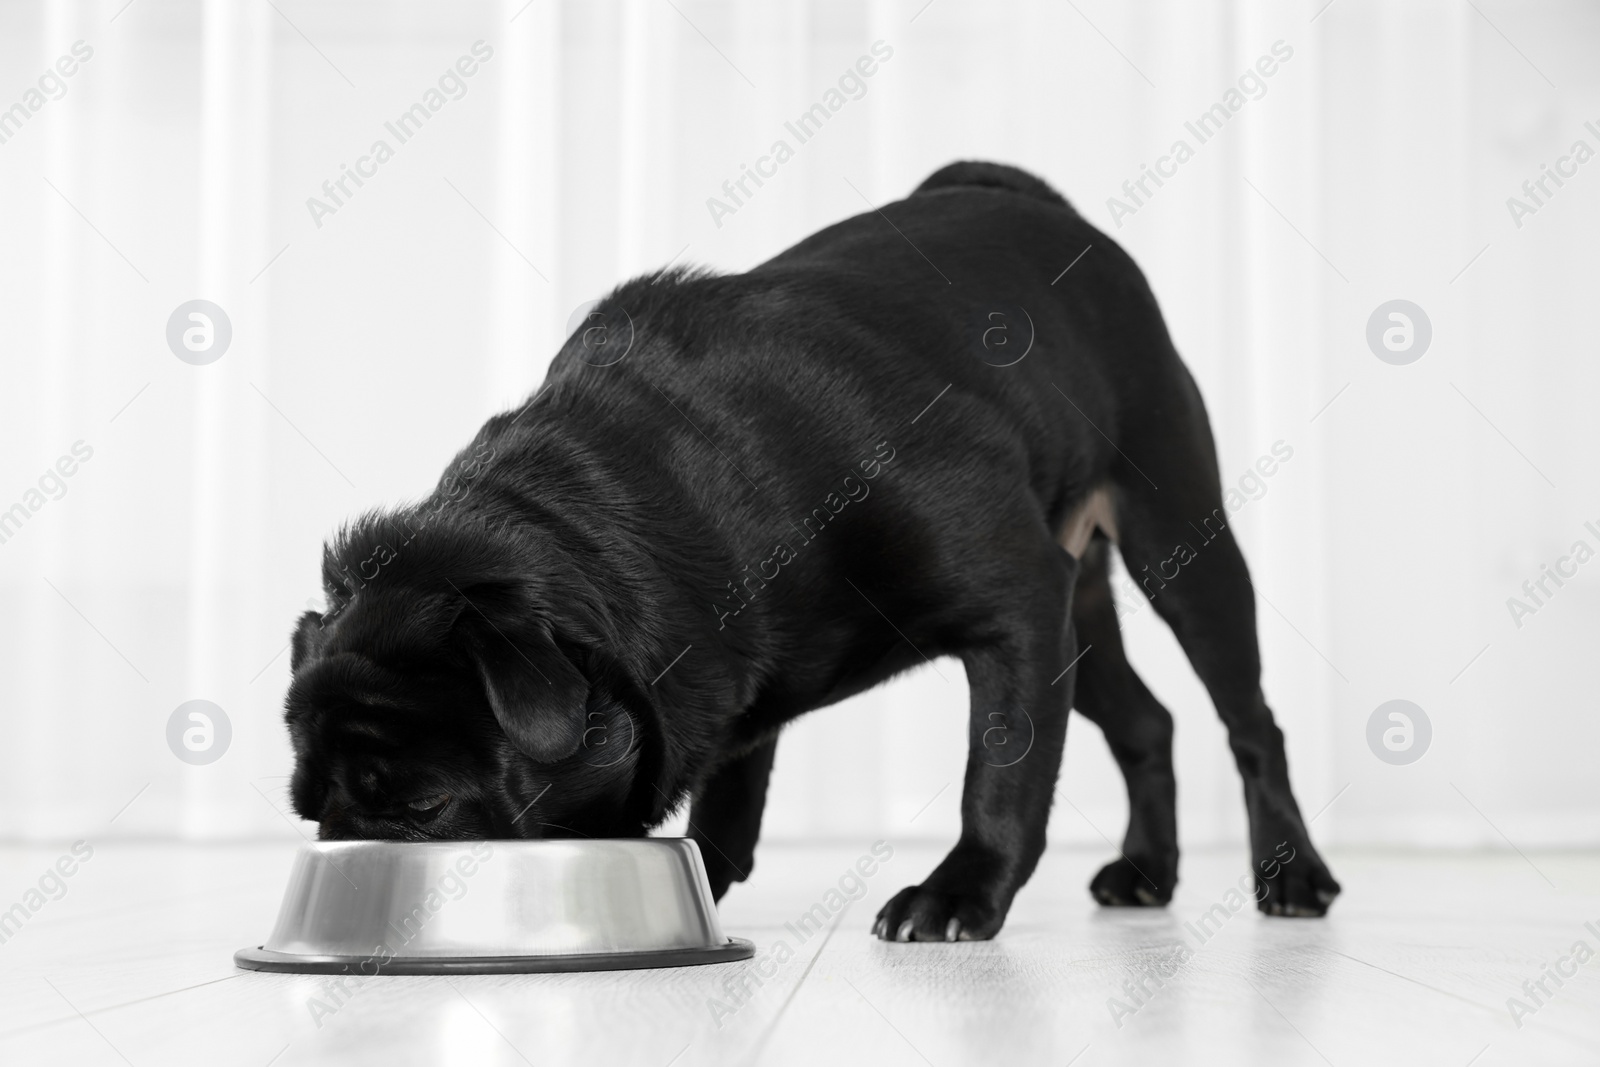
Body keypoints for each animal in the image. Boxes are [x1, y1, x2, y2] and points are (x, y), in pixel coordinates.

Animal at [288, 160, 1337, 940]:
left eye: (422, 807)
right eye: (309, 808)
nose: (348, 844)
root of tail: (1046, 209)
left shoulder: (1017, 604)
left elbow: (1001, 770)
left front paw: (961, 891)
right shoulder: (729, 679)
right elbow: (726, 796)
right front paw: (705, 884)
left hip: (1177, 546)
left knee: (1250, 723)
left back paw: (1292, 876)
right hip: (1080, 617)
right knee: (1147, 721)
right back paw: (1148, 871)